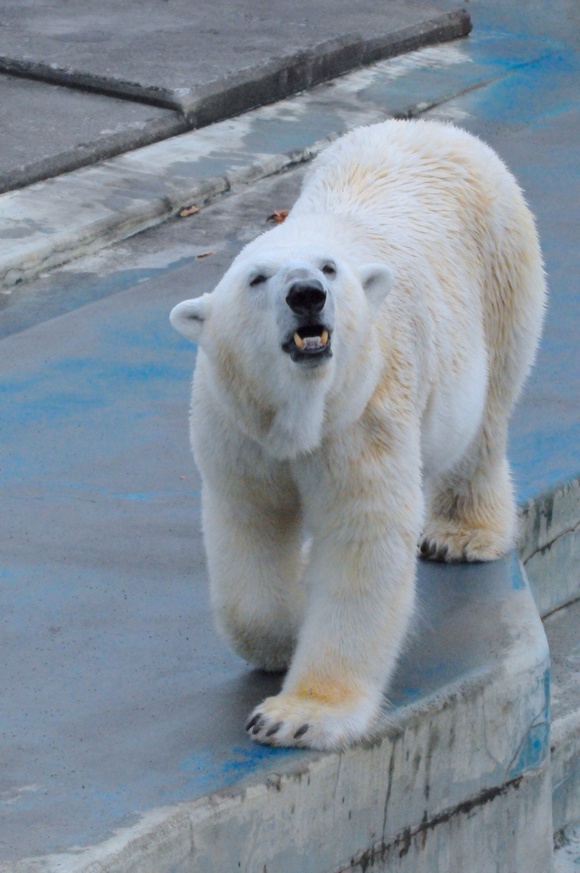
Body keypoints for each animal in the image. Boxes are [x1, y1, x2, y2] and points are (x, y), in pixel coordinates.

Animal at [170, 117, 548, 748]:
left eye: (329, 268)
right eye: (256, 278)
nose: (306, 295)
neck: (303, 411)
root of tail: (433, 128)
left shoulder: (362, 418)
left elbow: (361, 539)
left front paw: (294, 715)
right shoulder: (240, 428)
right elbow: (251, 525)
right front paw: (284, 630)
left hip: (499, 274)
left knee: (484, 420)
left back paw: (461, 534)